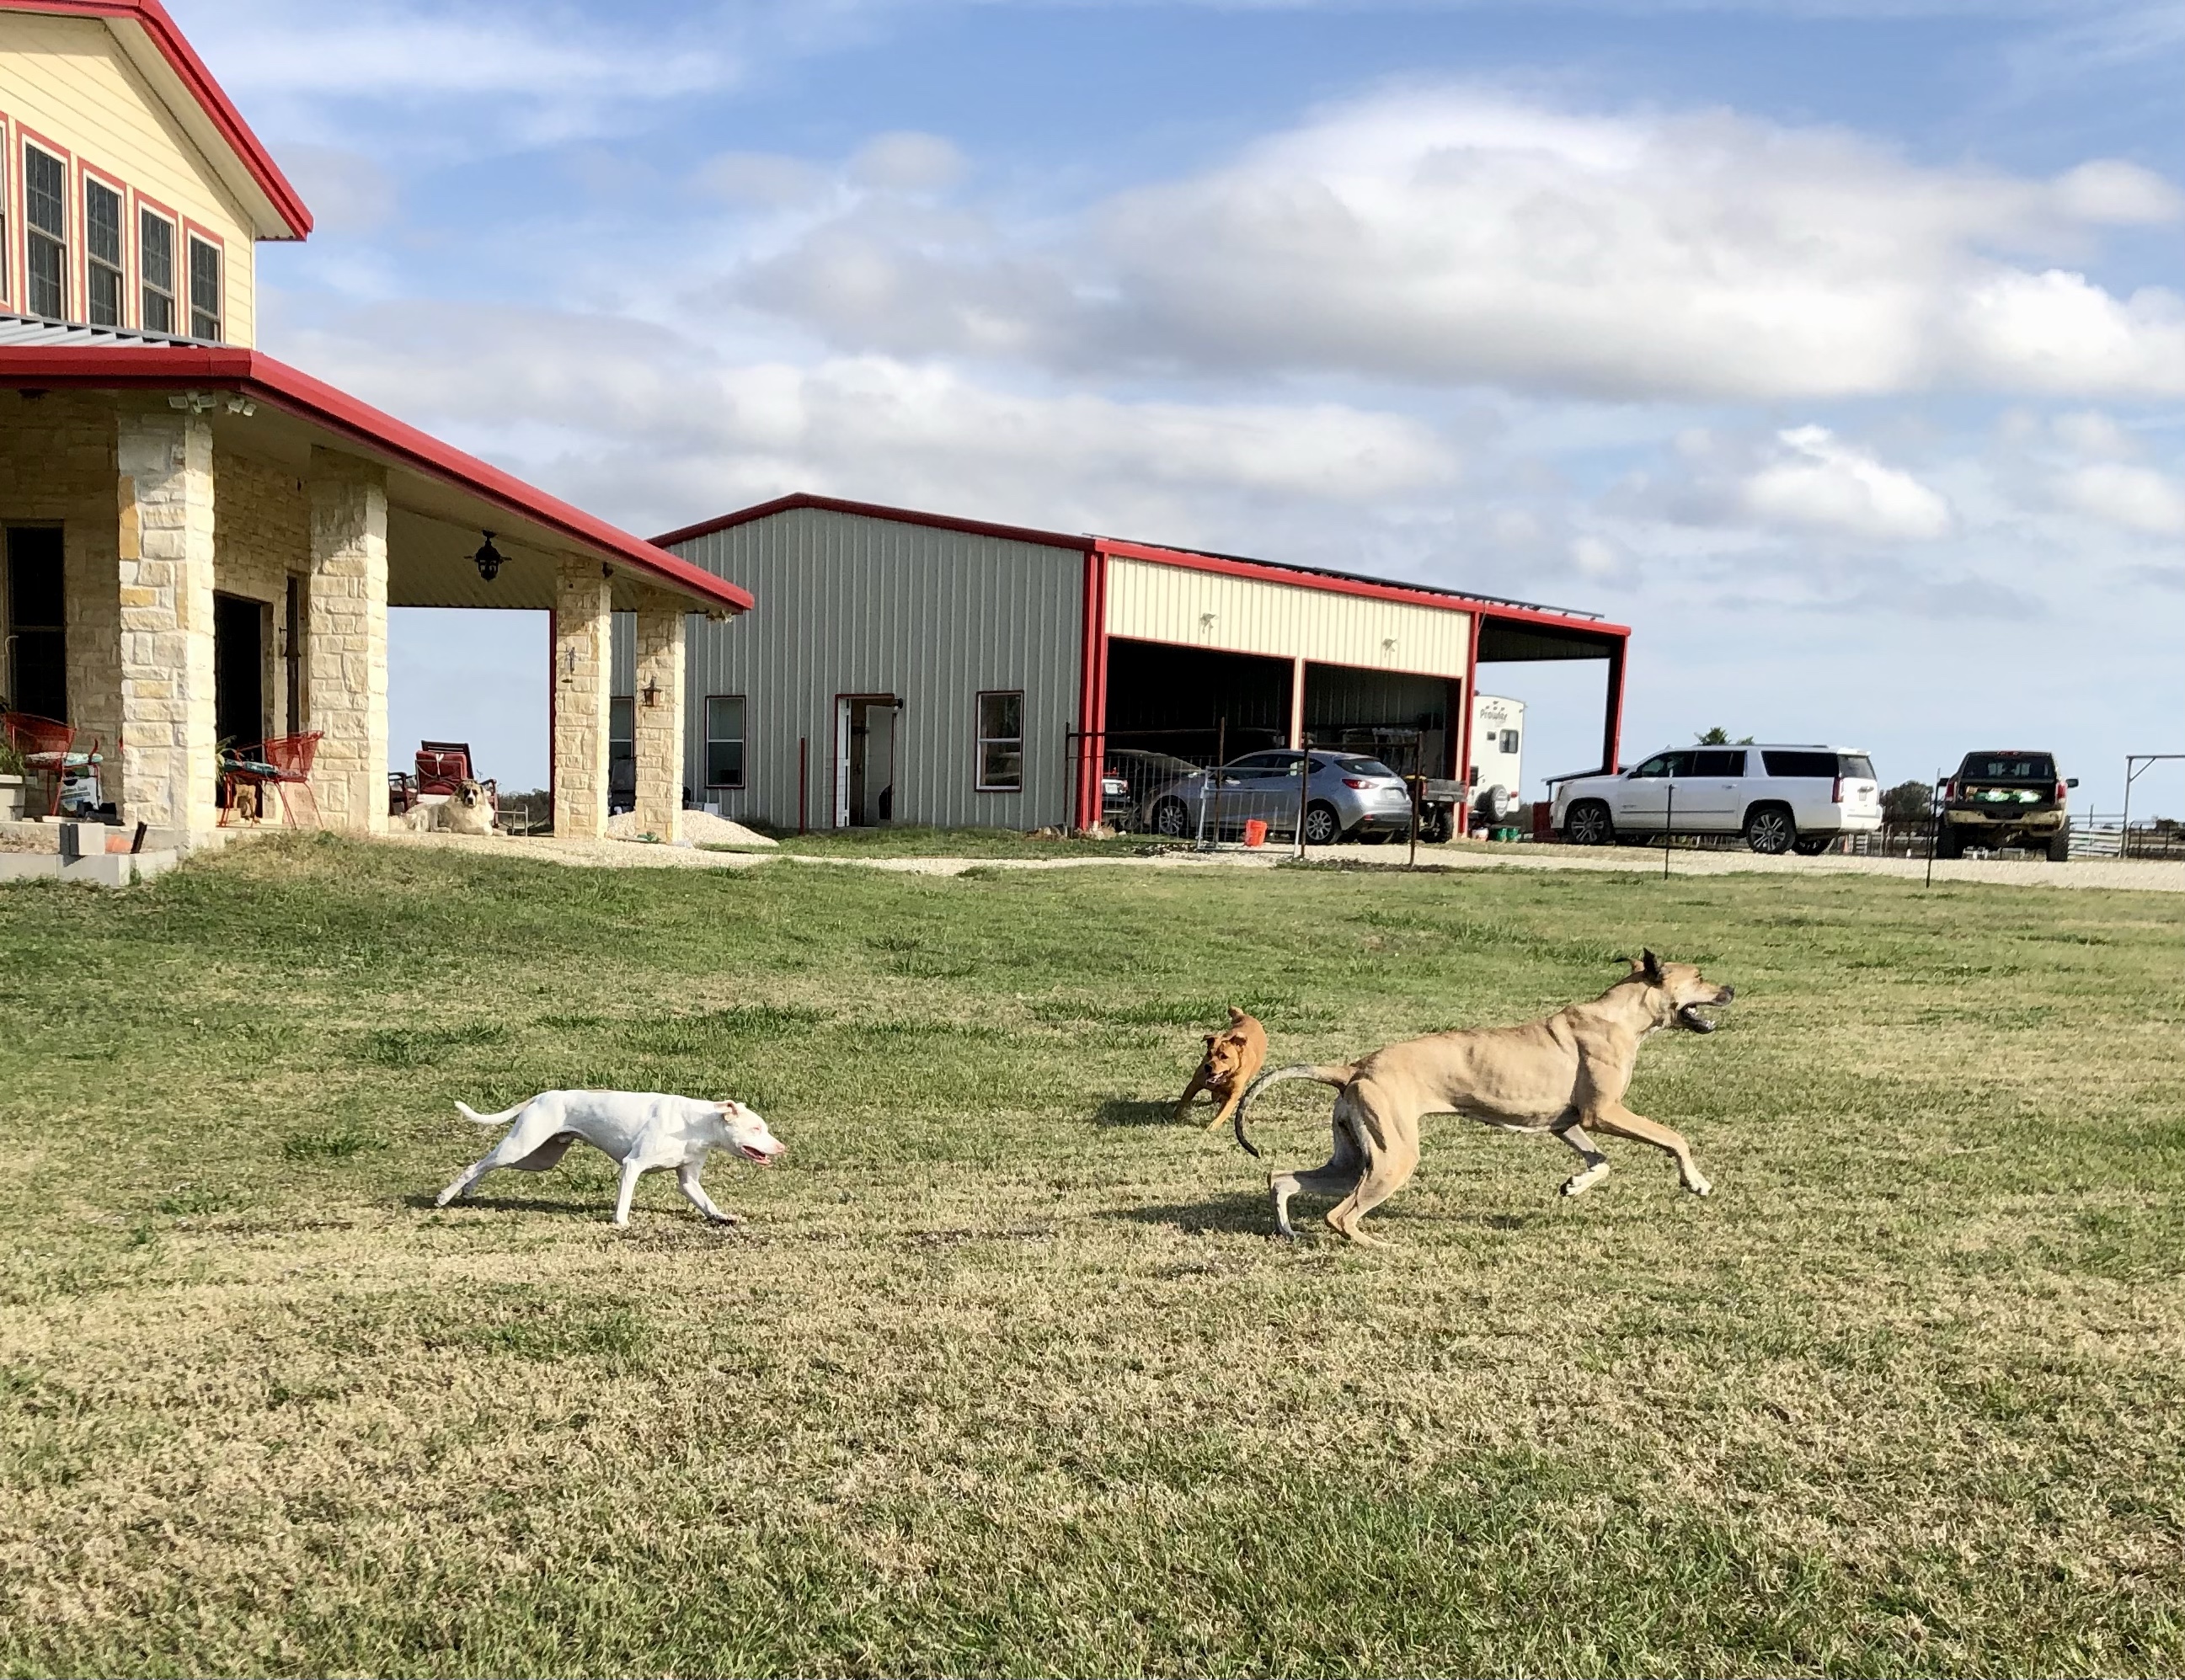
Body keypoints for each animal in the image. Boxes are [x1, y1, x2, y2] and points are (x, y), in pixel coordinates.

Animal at [434, 1089, 785, 1226]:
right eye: (756, 1128)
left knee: (486, 1165)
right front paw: (621, 1223)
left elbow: (706, 1202)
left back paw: (468, 1192)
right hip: (521, 1145)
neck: (698, 1123)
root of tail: (543, 1096)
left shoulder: (689, 1179)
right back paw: (444, 1196)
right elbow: (625, 1199)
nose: (781, 1147)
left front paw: (722, 1217)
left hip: (538, 1158)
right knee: (476, 1165)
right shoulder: (633, 1165)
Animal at [1175, 1006, 1269, 1131]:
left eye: (1224, 1056)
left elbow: (1221, 1115)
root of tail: (1245, 1016)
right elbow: (1183, 1102)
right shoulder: (1195, 1084)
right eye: (1209, 1054)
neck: (1224, 1079)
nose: (1208, 1066)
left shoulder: (1232, 1097)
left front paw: (1211, 1128)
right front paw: (1176, 1116)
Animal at [1233, 952, 1734, 1244]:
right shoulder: (1604, 1112)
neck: (1621, 1015)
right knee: (1340, 1217)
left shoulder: (1566, 1122)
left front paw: (1574, 1185)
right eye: (1700, 976)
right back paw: (1376, 1244)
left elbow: (1600, 1160)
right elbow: (1674, 1137)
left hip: (1354, 1158)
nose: (1732, 989)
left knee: (1282, 1178)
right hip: (1393, 1159)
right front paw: (1697, 1182)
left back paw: (1287, 1229)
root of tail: (1355, 1067)